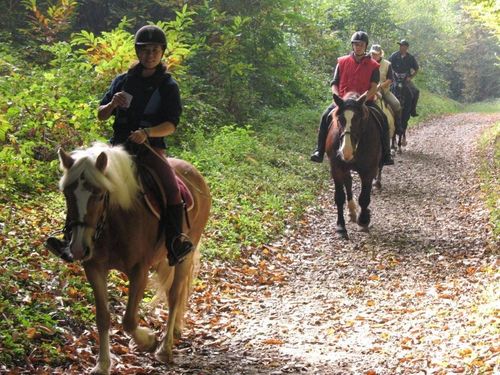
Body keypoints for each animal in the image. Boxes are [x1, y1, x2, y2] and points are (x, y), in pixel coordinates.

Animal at [56, 142, 211, 374]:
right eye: (67, 194)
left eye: (100, 195)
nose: (78, 248)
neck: (114, 221)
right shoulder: (94, 267)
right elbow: (103, 317)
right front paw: (102, 364)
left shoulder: (139, 270)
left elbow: (129, 320)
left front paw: (149, 341)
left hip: (186, 255)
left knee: (174, 295)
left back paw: (165, 348)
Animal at [326, 94, 380, 241]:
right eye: (339, 119)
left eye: (359, 119)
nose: (346, 151)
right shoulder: (337, 168)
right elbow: (339, 197)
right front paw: (341, 228)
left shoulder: (369, 170)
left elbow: (364, 198)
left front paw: (364, 220)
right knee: (348, 184)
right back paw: (351, 211)